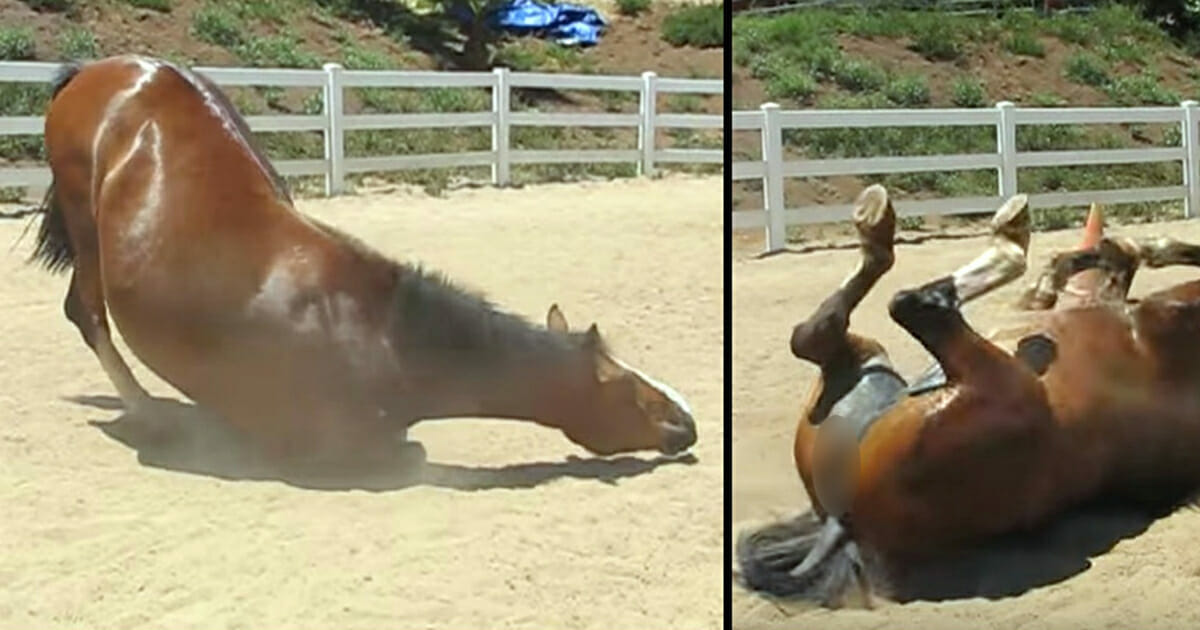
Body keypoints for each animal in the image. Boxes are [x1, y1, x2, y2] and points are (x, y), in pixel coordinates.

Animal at [28, 55, 696, 465]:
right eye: (628, 390)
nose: (687, 420)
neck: (375, 332)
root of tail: (101, 70)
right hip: (86, 229)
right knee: (86, 312)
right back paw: (149, 415)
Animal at [734, 184, 1200, 607]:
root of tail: (840, 523)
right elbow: (1116, 269)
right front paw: (1088, 260)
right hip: (871, 364)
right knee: (822, 333)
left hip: (997, 384)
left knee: (909, 306)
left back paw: (991, 241)